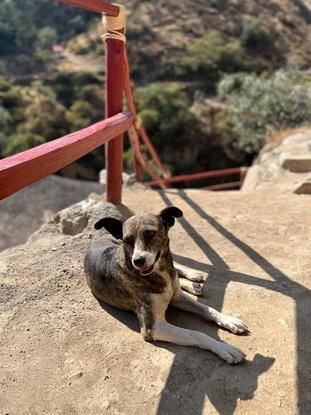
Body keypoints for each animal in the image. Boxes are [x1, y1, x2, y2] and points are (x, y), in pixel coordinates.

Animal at [84, 208, 250, 364]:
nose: (138, 261)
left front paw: (229, 320)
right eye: (127, 240)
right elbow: (197, 334)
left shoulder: (177, 298)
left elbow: (208, 309)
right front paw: (225, 348)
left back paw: (193, 278)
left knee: (177, 267)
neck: (161, 272)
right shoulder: (154, 327)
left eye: (150, 233)